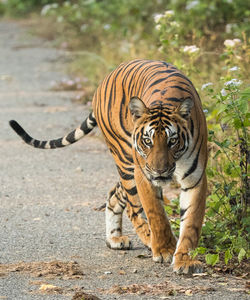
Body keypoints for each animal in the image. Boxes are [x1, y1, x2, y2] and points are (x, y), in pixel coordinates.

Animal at [9, 58, 207, 274]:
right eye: (148, 141)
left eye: (172, 141)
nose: (159, 171)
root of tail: (106, 78)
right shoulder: (144, 175)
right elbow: (156, 215)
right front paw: (165, 250)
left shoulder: (195, 178)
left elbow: (191, 223)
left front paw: (185, 260)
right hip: (126, 162)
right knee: (133, 208)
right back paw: (147, 240)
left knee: (114, 194)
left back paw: (114, 238)